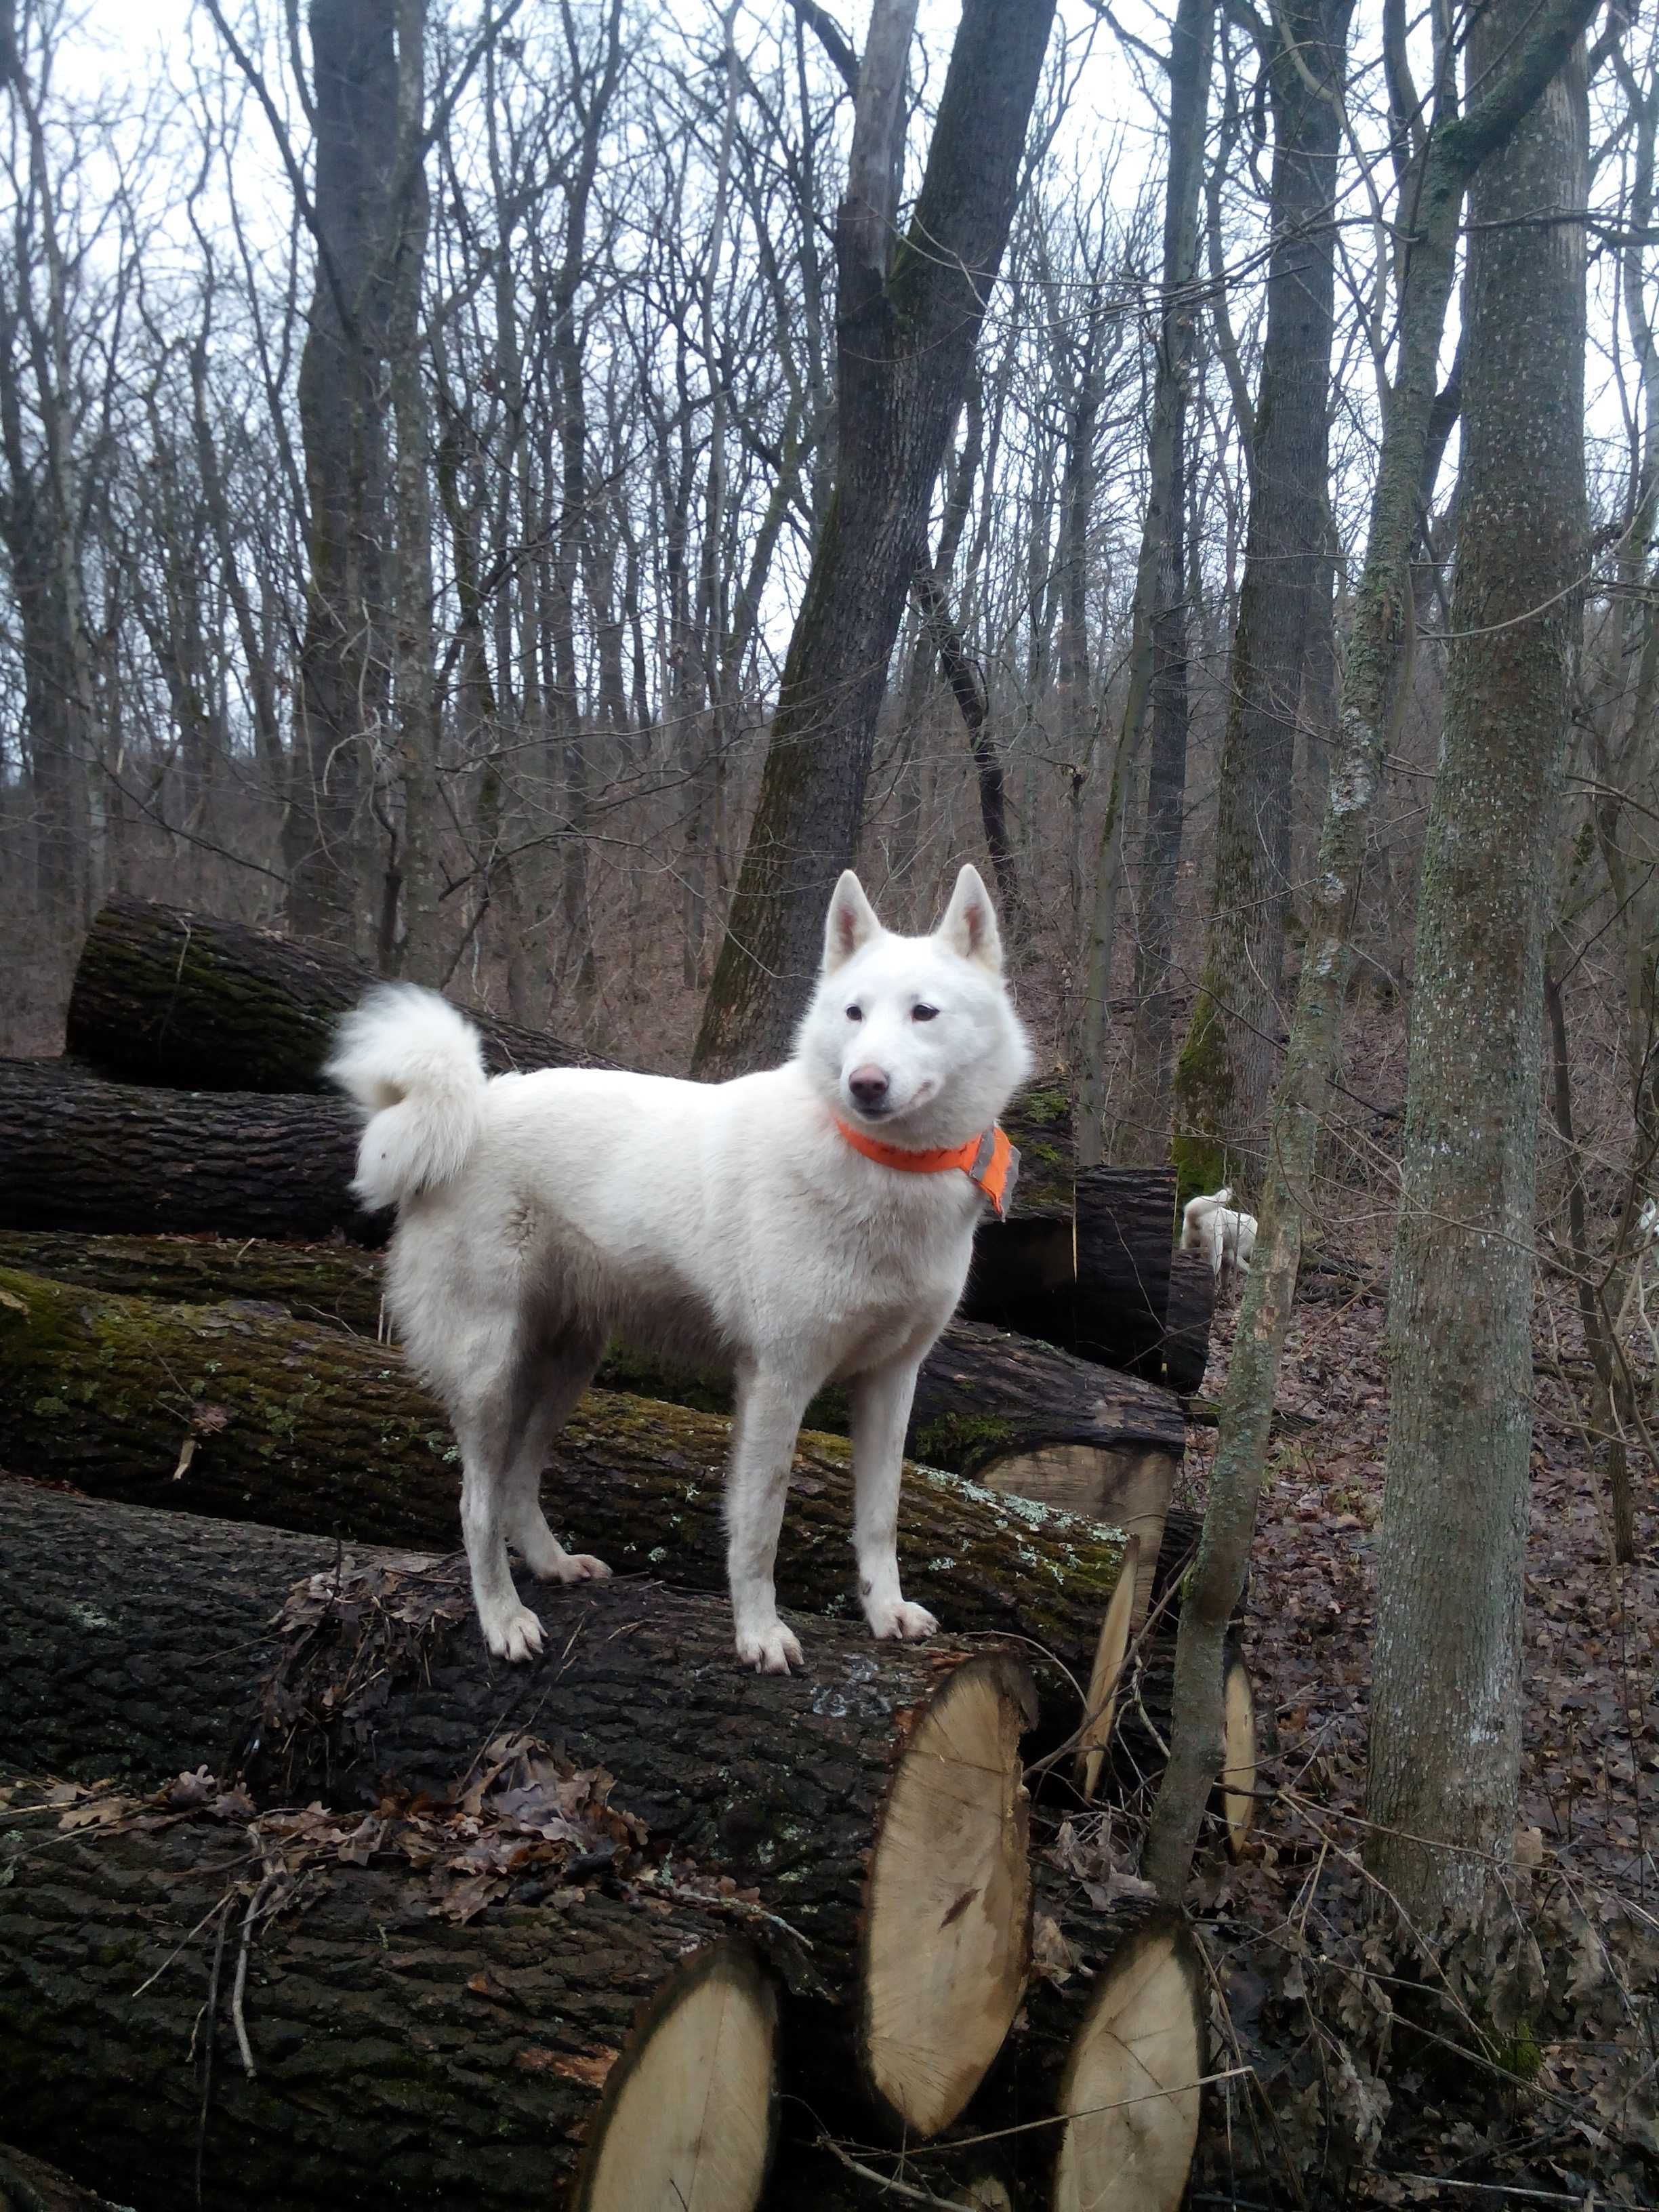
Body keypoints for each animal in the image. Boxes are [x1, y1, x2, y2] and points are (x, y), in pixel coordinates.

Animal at [327, 862, 1035, 1672]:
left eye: (924, 1013)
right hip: (489, 1371)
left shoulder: (891, 1382)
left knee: (515, 1484)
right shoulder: (777, 1382)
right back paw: (503, 1619)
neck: (884, 1168)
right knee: (476, 1504)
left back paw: (553, 1565)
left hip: (567, 1363)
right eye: (854, 1014)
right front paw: (758, 1635)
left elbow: (881, 1516)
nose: (865, 1084)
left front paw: (885, 1612)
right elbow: (760, 1524)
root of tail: (470, 1107)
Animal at [1185, 1185, 1256, 1292]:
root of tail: (1194, 1215)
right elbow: (1248, 1268)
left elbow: (1225, 1280)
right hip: (1216, 1253)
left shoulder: (1227, 1262)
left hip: (1191, 1248)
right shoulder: (1233, 1254)